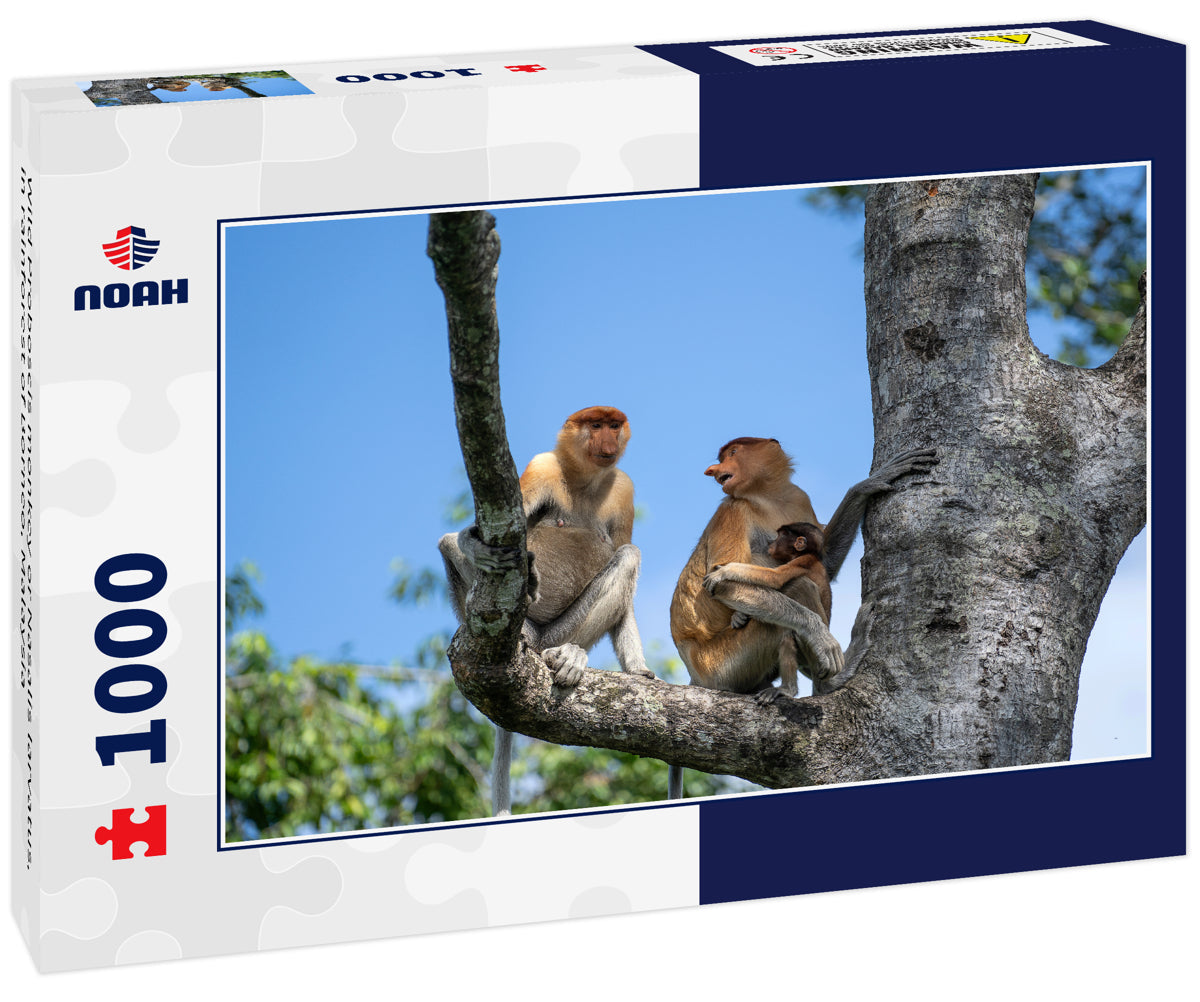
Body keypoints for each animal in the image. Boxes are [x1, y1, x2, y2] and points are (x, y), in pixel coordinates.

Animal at [439, 406, 655, 815]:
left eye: (613, 426)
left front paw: (639, 671)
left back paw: (568, 655)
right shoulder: (543, 467)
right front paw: (475, 546)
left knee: (628, 554)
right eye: (595, 425)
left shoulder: (624, 488)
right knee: (447, 545)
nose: (607, 441)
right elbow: (469, 537)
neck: (584, 480)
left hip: (562, 628)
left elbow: (623, 550)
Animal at [666, 439, 937, 798]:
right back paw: (825, 681)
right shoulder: (732, 510)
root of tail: (695, 671)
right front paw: (821, 636)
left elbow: (825, 559)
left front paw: (869, 483)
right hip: (722, 664)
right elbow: (725, 585)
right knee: (795, 591)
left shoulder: (798, 498)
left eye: (732, 453)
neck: (767, 497)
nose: (713, 470)